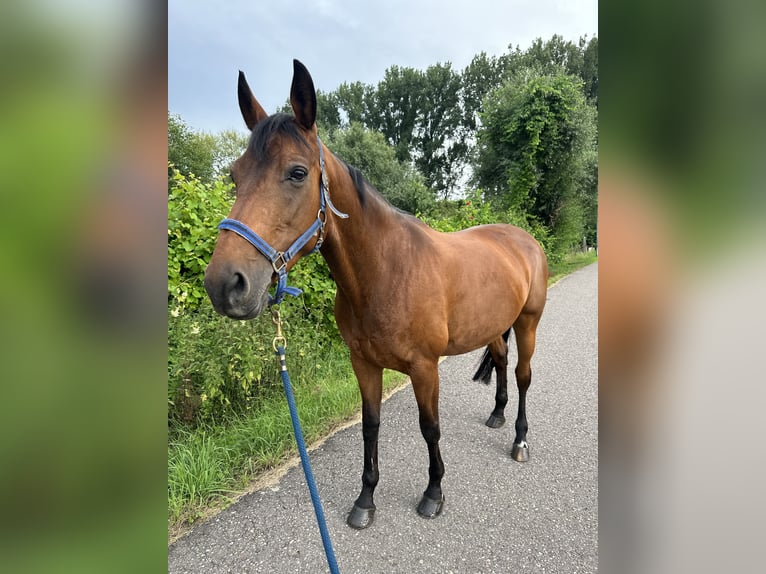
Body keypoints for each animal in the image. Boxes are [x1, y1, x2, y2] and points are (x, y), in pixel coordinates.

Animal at [207, 59, 548, 532]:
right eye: (235, 175)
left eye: (297, 172)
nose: (225, 284)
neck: (385, 273)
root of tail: (522, 238)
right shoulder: (364, 364)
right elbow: (371, 426)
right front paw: (365, 499)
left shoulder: (425, 368)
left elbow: (430, 427)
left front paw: (433, 493)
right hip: (495, 326)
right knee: (499, 362)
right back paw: (497, 415)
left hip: (528, 322)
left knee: (522, 375)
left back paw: (519, 440)